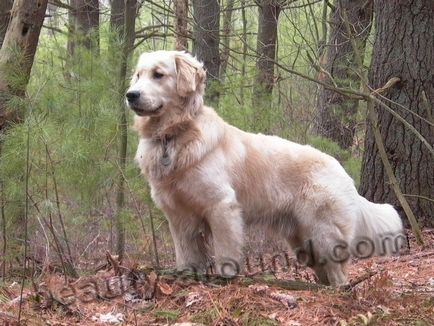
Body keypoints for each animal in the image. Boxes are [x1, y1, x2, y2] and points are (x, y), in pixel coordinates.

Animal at [127, 50, 406, 286]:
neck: (173, 136)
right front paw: (186, 274)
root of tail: (341, 170)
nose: (131, 94)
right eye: (138, 75)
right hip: (303, 243)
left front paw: (225, 279)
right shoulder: (178, 215)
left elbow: (225, 251)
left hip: (324, 234)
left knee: (339, 274)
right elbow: (185, 252)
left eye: (158, 74)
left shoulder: (222, 206)